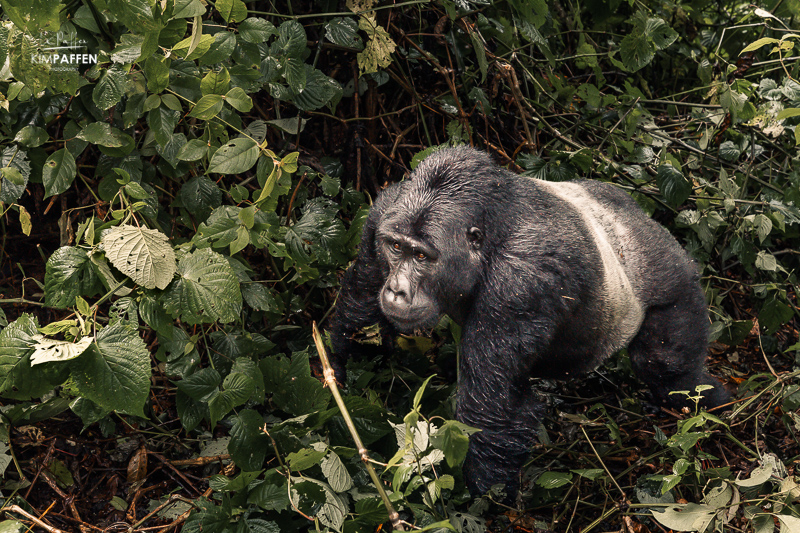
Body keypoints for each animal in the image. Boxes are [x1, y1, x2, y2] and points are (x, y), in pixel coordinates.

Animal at [328, 145, 728, 498]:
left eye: (422, 256)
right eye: (396, 247)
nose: (396, 290)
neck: (491, 232)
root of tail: (640, 214)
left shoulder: (519, 285)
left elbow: (492, 417)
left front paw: (482, 504)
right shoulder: (382, 213)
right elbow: (359, 309)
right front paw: (334, 369)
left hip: (671, 270)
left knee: (669, 372)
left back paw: (716, 402)